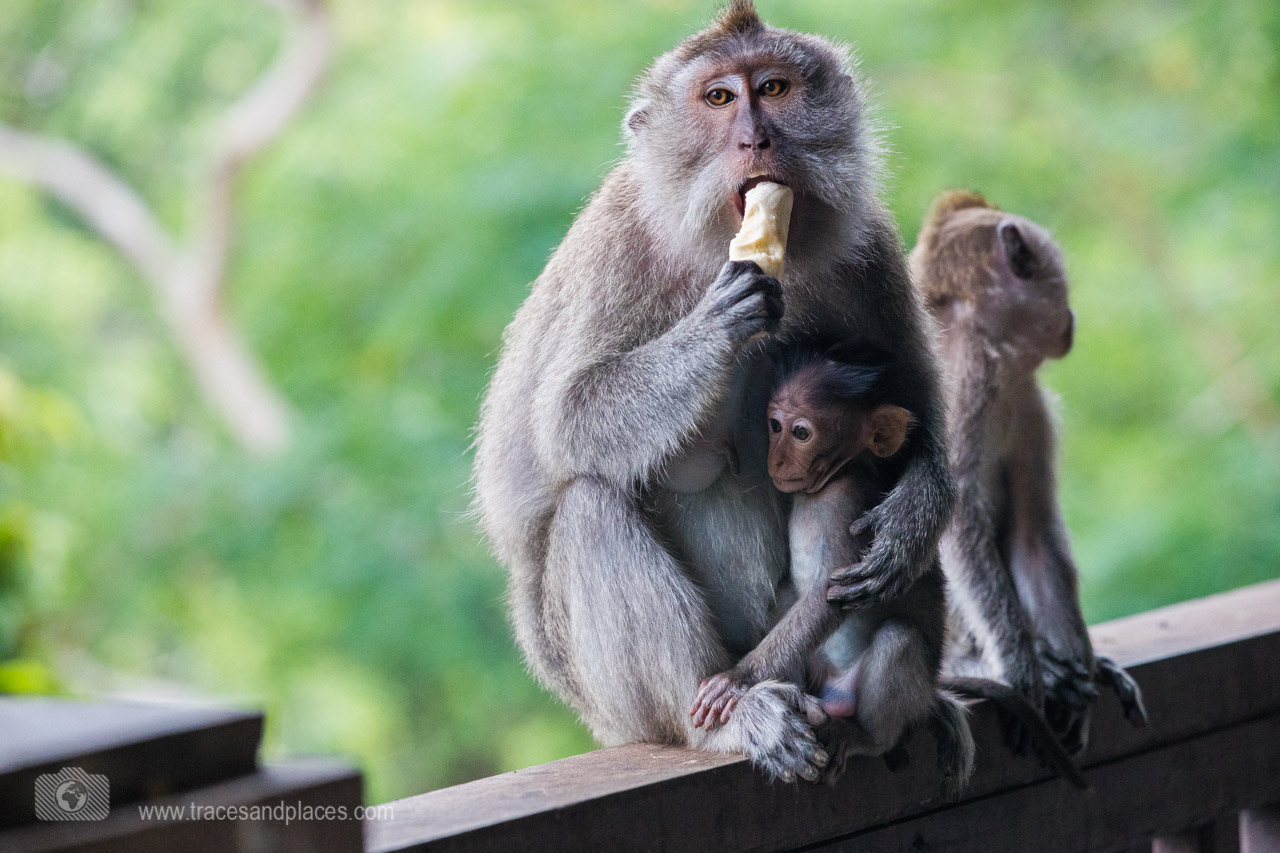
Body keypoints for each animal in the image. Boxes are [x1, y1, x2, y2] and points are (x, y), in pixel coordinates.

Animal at [476, 0, 957, 778]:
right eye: (720, 98)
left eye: (774, 88)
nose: (754, 137)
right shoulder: (618, 249)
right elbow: (569, 418)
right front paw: (720, 320)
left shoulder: (871, 249)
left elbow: (919, 417)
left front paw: (914, 513)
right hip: (604, 694)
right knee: (589, 506)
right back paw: (721, 726)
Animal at [911, 190, 1152, 753]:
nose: (1071, 316)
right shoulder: (963, 389)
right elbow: (956, 520)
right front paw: (1024, 669)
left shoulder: (1028, 404)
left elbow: (1032, 532)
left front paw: (1075, 676)